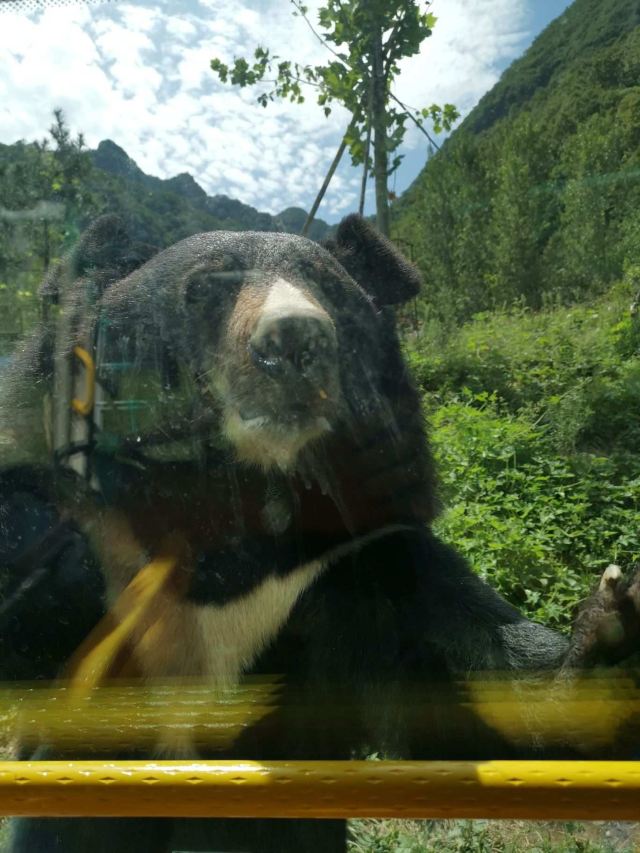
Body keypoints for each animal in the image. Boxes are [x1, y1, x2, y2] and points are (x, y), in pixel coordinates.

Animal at [0, 215, 636, 852]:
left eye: (328, 287)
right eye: (205, 288)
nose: (294, 339)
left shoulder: (360, 561)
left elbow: (477, 683)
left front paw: (608, 634)